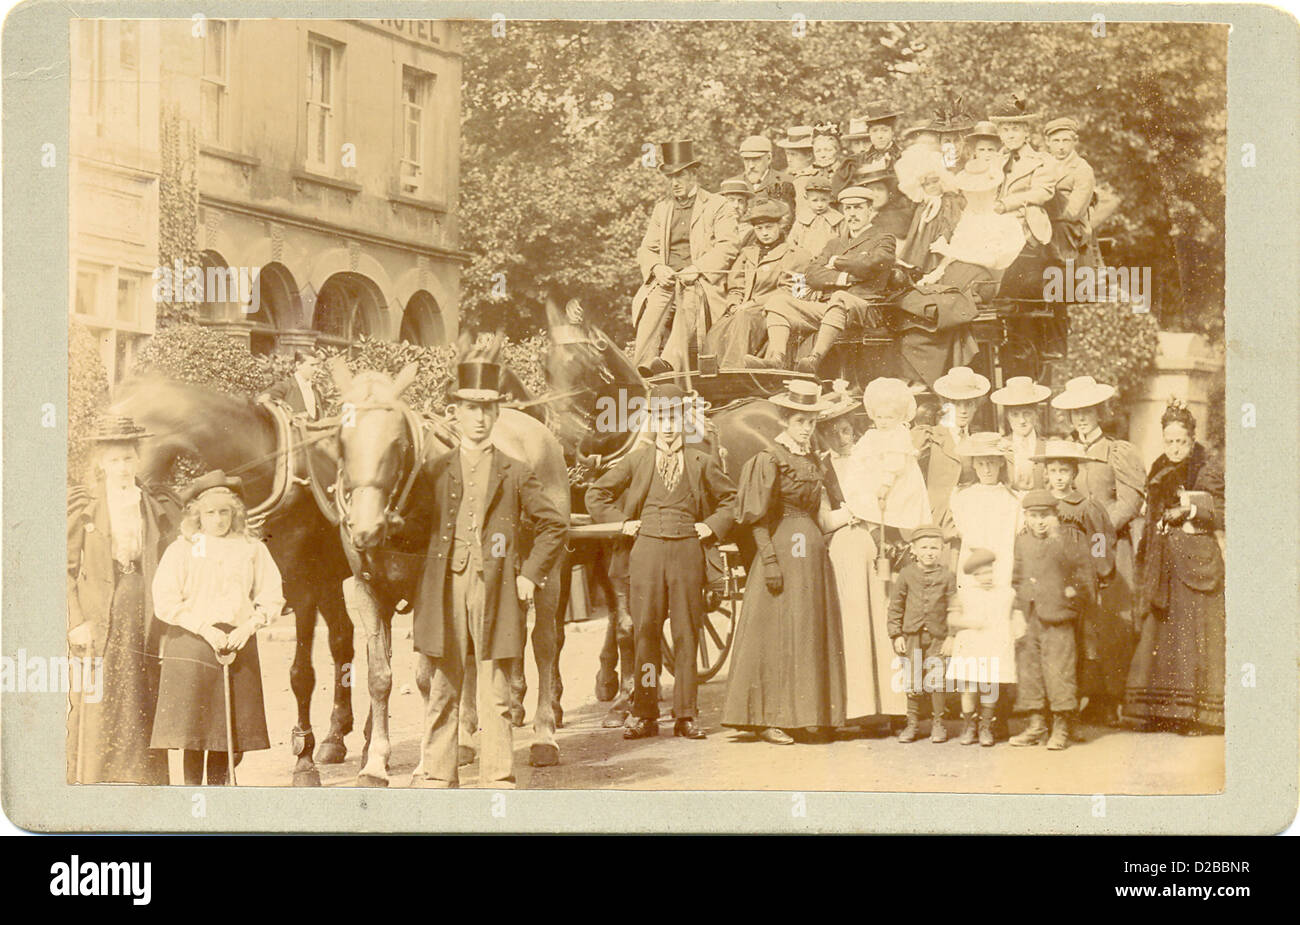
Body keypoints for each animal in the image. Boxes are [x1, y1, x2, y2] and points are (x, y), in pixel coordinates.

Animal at [113, 376, 351, 789]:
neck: (270, 469)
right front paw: (231, 758)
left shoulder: (303, 590)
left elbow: (301, 675)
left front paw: (302, 760)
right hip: (333, 584)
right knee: (344, 642)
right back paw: (337, 737)